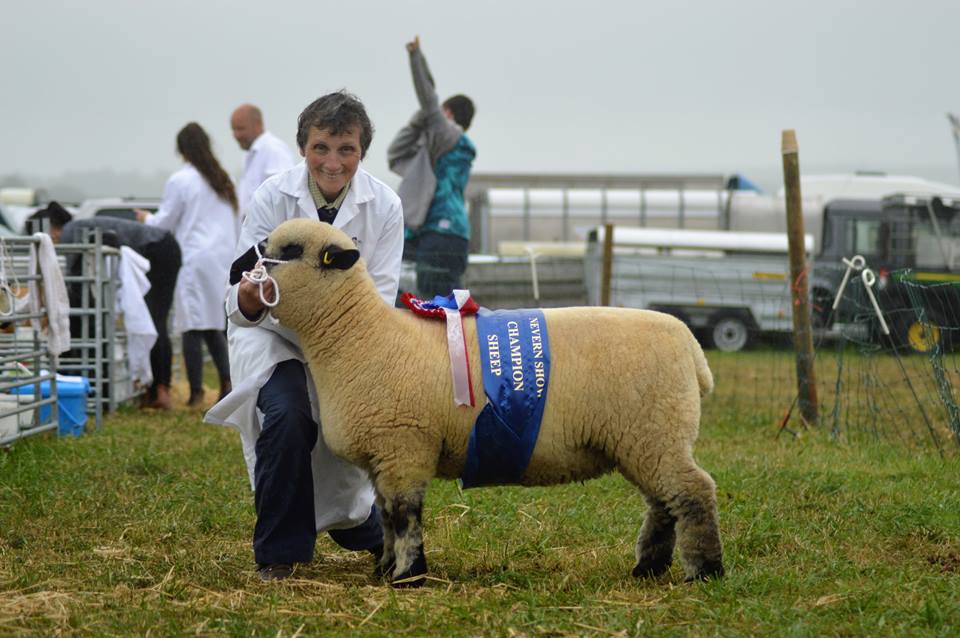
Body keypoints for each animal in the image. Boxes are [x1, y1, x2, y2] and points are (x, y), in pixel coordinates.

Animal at [261, 218, 724, 587]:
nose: (248, 262)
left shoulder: (404, 447)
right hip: (645, 440)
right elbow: (389, 517)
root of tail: (691, 348)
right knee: (663, 504)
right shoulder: (385, 456)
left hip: (656, 430)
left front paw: (408, 576)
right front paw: (386, 570)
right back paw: (648, 569)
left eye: (290, 250)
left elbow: (405, 516)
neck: (358, 335)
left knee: (693, 492)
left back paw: (705, 572)